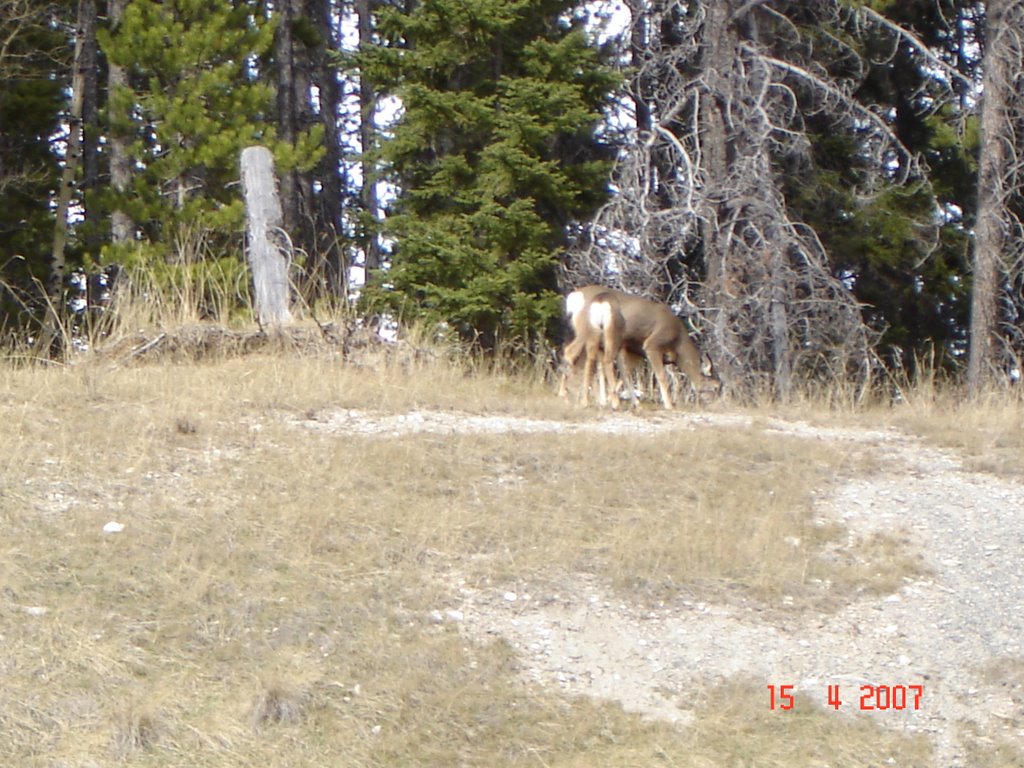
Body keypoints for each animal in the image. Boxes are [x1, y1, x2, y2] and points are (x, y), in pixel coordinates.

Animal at [561, 286, 720, 409]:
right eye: (716, 387)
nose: (716, 405)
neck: (678, 342)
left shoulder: (634, 351)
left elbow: (626, 374)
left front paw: (633, 402)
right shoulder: (651, 345)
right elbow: (661, 376)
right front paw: (669, 405)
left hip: (595, 334)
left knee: (590, 360)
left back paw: (586, 401)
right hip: (609, 334)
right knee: (595, 359)